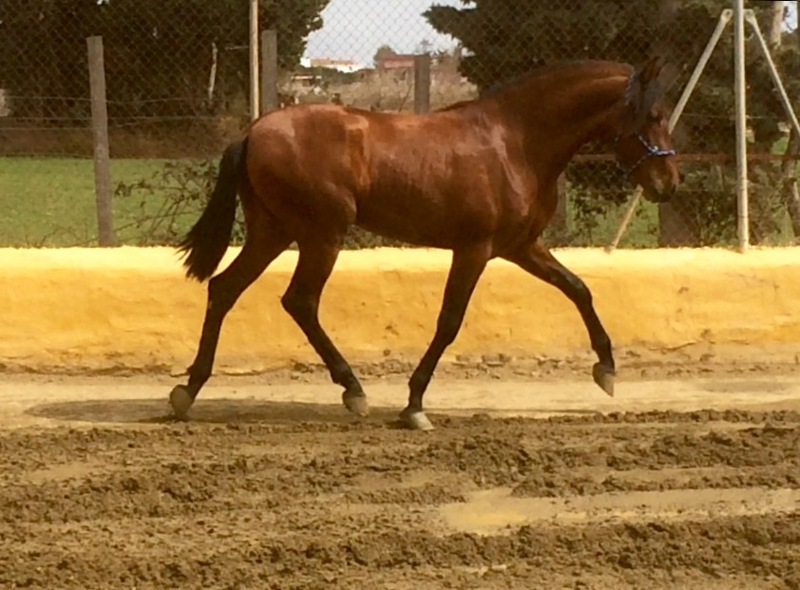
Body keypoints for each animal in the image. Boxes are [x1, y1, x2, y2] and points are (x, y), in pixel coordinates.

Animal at [168, 56, 681, 431]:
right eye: (654, 115)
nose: (669, 183)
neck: (515, 142)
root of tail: (253, 132)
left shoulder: (520, 247)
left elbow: (578, 288)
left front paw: (606, 370)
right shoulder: (475, 248)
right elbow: (450, 321)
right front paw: (414, 405)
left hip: (274, 232)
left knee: (225, 289)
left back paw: (188, 391)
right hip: (321, 233)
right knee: (300, 300)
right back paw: (352, 390)